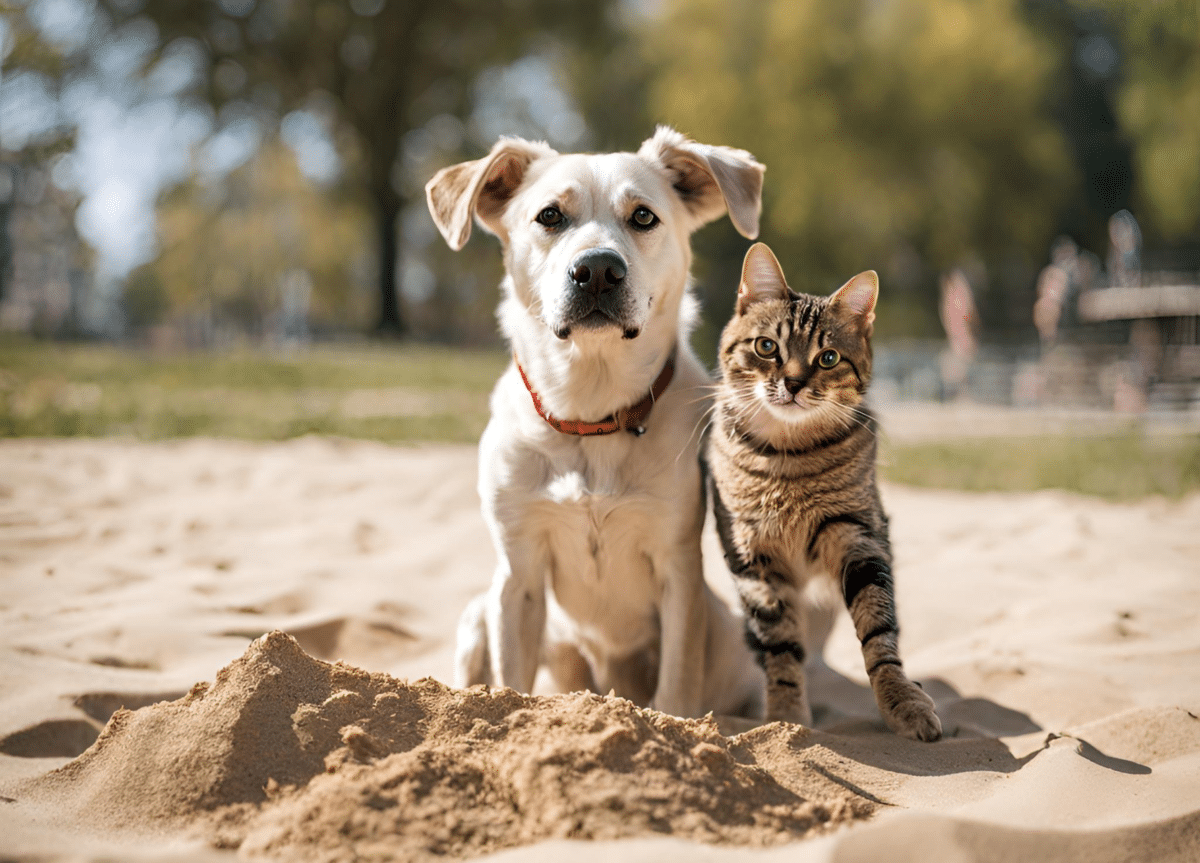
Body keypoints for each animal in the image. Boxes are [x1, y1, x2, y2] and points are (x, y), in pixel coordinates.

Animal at [429, 124, 768, 720]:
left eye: (643, 216)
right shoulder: (518, 568)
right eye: (549, 216)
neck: (592, 415)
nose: (597, 271)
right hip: (484, 612)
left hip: (730, 640)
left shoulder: (678, 567)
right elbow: (511, 680)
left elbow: (677, 686)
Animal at [700, 242, 945, 744]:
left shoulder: (859, 538)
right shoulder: (752, 559)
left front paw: (901, 701)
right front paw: (787, 717)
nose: (793, 383)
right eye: (767, 347)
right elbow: (780, 647)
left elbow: (879, 633)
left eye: (828, 358)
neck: (787, 457)